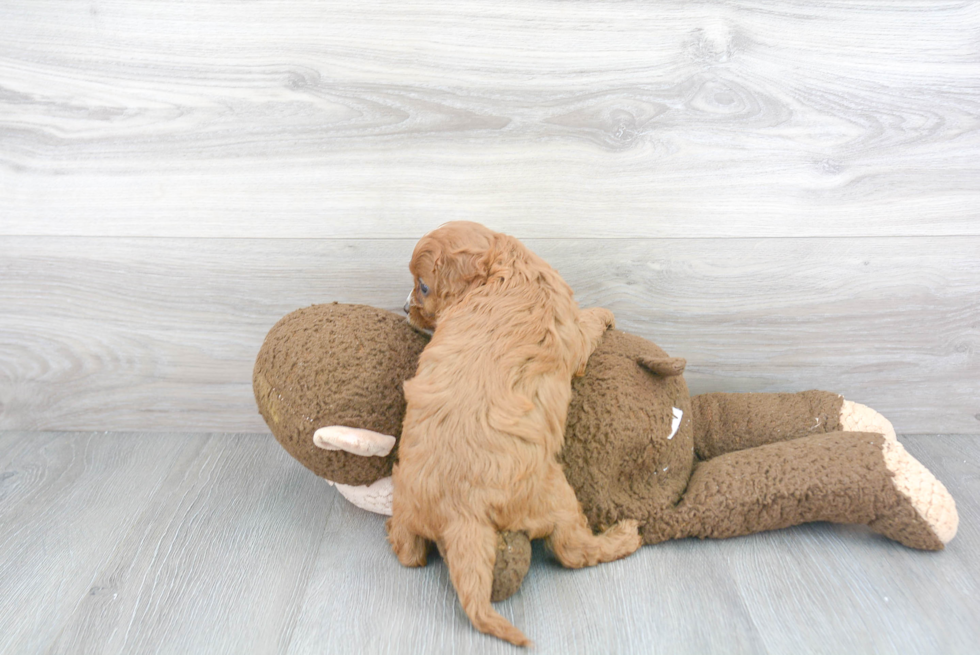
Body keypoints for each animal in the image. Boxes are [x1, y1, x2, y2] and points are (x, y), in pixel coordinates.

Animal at [386, 220, 648, 644]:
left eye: (423, 286)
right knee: (573, 549)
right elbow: (586, 324)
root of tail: (459, 512)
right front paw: (605, 313)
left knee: (408, 552)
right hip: (554, 494)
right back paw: (623, 536)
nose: (405, 308)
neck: (504, 267)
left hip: (407, 499)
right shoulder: (571, 334)